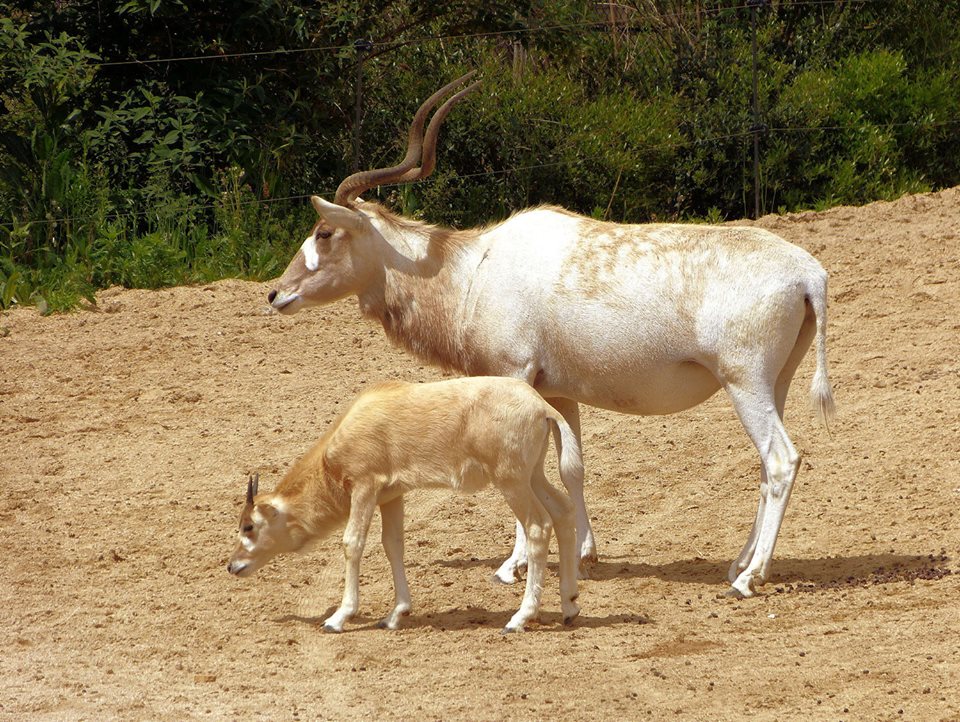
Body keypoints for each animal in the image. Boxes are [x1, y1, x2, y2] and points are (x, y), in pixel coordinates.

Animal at [229, 376, 580, 632]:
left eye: (249, 526)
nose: (233, 566)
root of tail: (541, 407)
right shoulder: (391, 495)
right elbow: (393, 544)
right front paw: (395, 614)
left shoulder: (365, 486)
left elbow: (352, 543)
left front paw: (338, 618)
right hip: (532, 476)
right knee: (563, 512)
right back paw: (569, 605)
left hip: (511, 482)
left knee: (538, 526)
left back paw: (520, 618)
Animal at [268, 71, 832, 596]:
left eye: (325, 232)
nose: (276, 294)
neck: (472, 271)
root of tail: (809, 274)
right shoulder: (559, 391)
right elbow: (571, 467)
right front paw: (582, 553)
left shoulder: (514, 376)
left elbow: (521, 463)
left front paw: (513, 565)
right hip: (771, 384)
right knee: (766, 466)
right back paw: (739, 563)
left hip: (744, 383)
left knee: (781, 460)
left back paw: (750, 576)